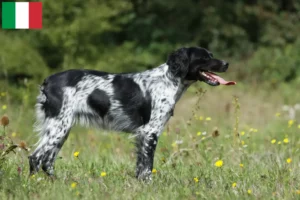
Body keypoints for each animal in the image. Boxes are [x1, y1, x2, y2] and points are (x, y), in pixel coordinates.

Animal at [28, 46, 234, 180]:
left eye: (211, 55)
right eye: (205, 58)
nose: (226, 63)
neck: (168, 80)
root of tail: (48, 81)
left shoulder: (142, 134)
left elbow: (141, 165)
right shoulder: (150, 131)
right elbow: (147, 166)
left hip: (62, 128)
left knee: (47, 161)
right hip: (59, 127)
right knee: (36, 157)